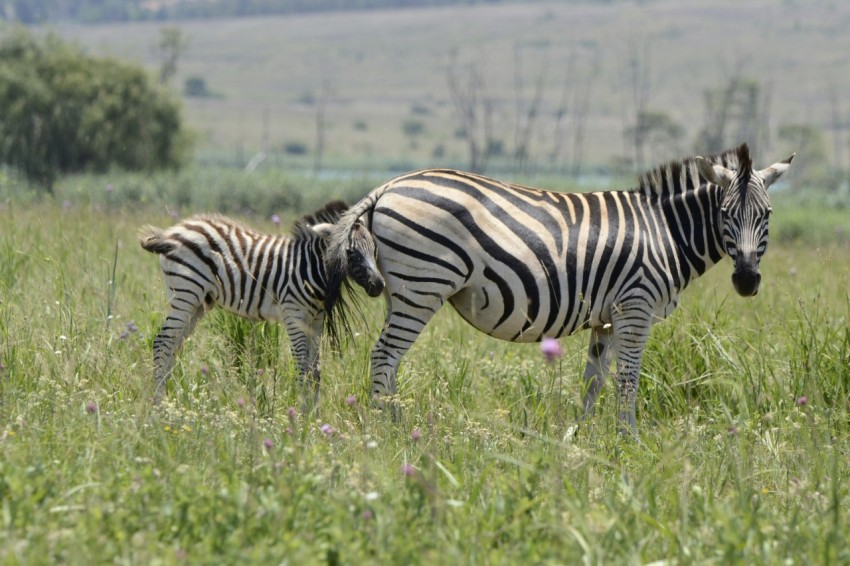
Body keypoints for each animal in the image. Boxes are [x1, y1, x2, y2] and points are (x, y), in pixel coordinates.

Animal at [139, 200, 379, 405]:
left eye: (374, 249)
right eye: (350, 252)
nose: (379, 285)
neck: (309, 267)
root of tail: (171, 232)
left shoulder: (315, 322)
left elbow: (315, 371)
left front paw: (314, 414)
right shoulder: (294, 316)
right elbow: (302, 367)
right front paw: (302, 417)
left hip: (198, 303)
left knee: (173, 345)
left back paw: (171, 400)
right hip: (186, 294)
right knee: (162, 342)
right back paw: (159, 403)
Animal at [324, 143, 794, 434]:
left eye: (768, 214)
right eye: (726, 213)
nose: (746, 279)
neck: (665, 231)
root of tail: (385, 187)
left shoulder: (607, 318)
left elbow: (594, 380)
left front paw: (581, 437)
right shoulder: (635, 306)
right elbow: (628, 379)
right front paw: (630, 440)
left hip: (401, 291)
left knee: (390, 360)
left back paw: (395, 421)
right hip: (423, 285)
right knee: (384, 355)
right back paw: (390, 429)